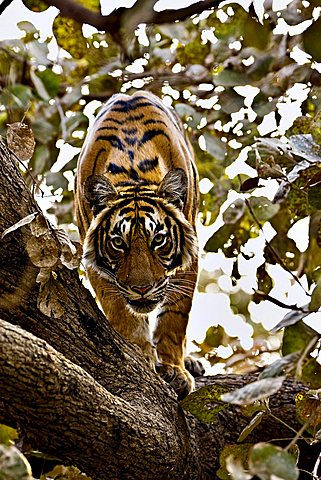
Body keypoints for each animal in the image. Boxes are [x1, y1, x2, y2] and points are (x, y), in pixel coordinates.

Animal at [75, 90, 200, 398]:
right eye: (118, 242)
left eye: (159, 240)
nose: (142, 289)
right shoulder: (96, 265)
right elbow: (121, 311)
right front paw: (141, 354)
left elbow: (175, 316)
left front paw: (175, 370)